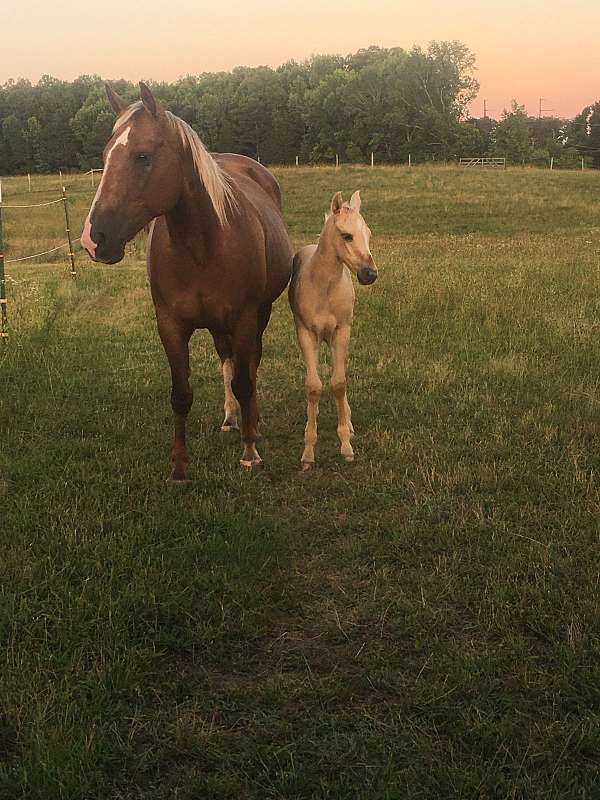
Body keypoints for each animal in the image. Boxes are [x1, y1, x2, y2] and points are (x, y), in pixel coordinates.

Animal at [81, 83, 292, 481]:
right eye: (105, 155)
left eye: (143, 155)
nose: (93, 238)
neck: (201, 248)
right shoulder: (170, 325)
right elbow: (181, 394)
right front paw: (178, 467)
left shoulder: (245, 317)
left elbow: (245, 381)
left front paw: (250, 453)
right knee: (227, 359)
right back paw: (230, 418)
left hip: (261, 313)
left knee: (250, 365)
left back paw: (251, 423)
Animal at [288, 190, 378, 469]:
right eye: (346, 235)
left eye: (368, 233)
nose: (370, 274)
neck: (324, 287)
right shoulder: (306, 334)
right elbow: (313, 387)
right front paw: (308, 452)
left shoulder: (342, 331)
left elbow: (339, 383)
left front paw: (346, 445)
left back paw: (348, 421)